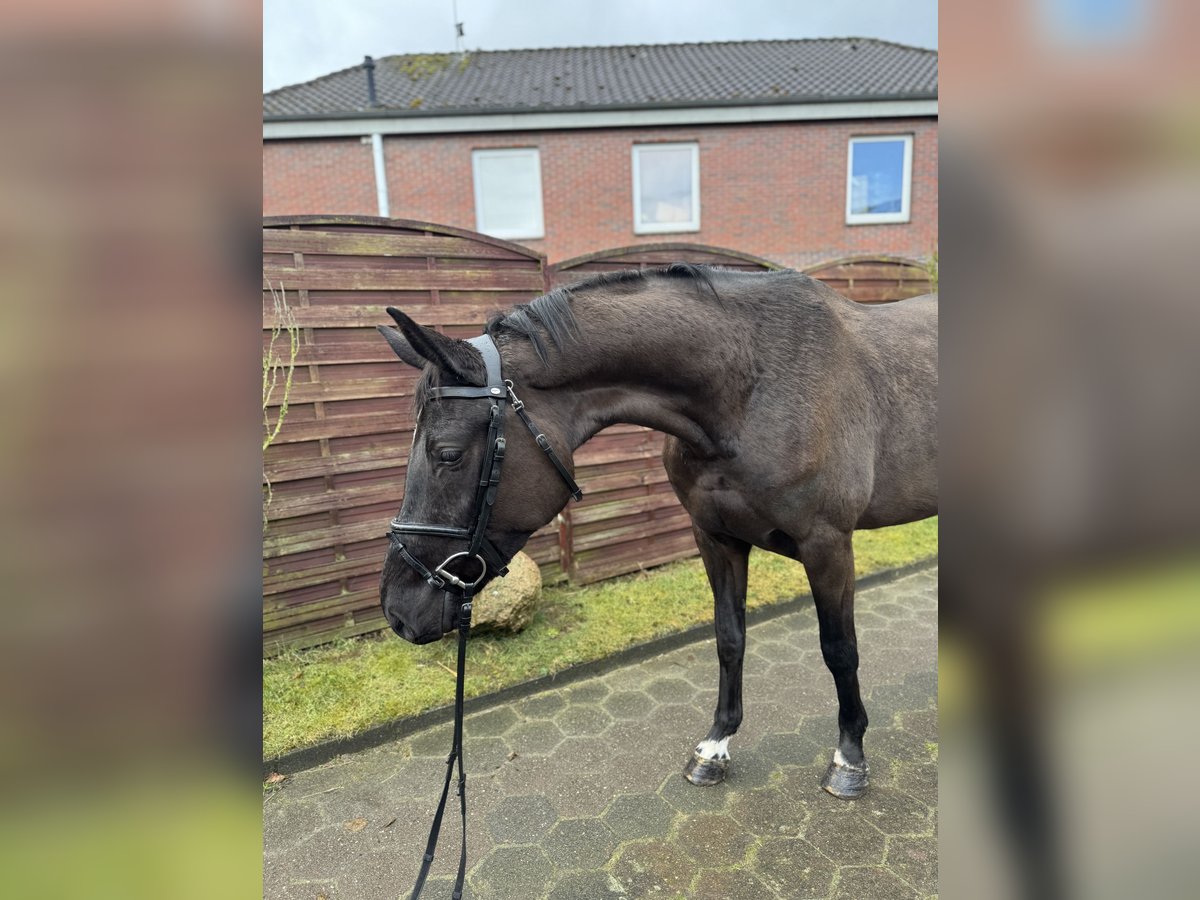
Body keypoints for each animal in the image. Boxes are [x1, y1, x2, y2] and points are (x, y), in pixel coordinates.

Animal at [374, 264, 936, 801]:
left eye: (447, 454)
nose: (398, 611)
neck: (749, 392)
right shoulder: (716, 539)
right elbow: (729, 638)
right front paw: (715, 748)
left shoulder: (828, 545)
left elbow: (839, 650)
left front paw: (850, 759)